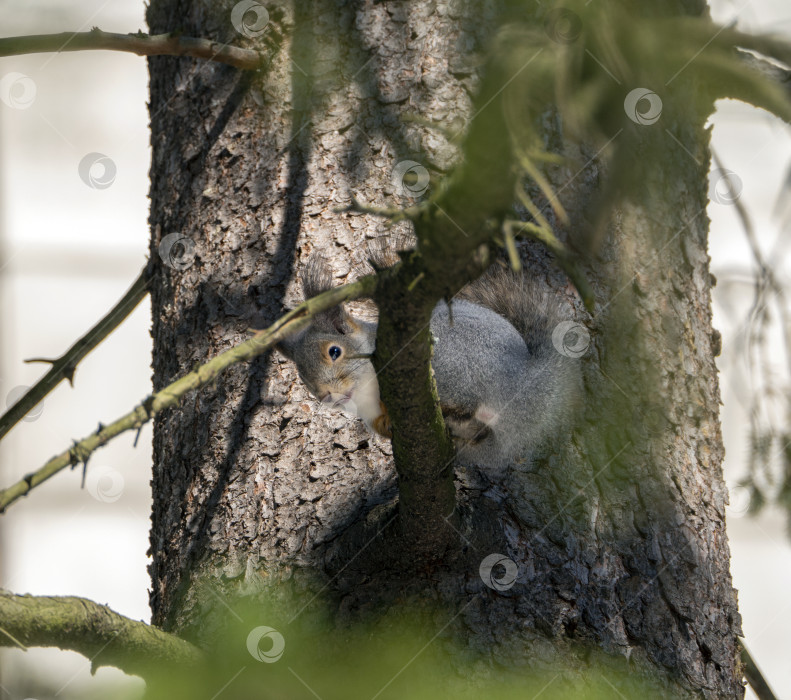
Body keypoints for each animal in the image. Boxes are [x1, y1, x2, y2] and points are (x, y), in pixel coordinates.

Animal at [276, 254, 584, 468]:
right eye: (302, 377)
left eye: (334, 352)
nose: (325, 396)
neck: (365, 394)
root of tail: (524, 380)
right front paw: (386, 426)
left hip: (453, 363)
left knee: (465, 403)